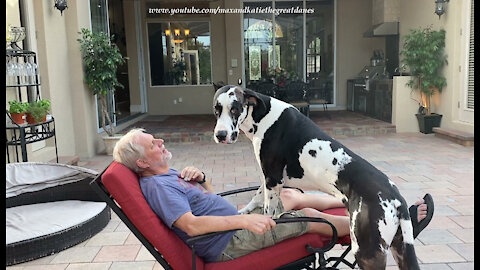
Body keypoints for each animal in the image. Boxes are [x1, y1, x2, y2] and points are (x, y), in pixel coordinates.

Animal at [214, 85, 420, 268]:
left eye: (235, 108)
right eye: (216, 110)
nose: (221, 135)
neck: (263, 116)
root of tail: (397, 199)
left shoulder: (273, 178)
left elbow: (268, 212)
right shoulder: (269, 180)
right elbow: (256, 197)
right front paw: (242, 213)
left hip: (366, 252)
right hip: (401, 249)